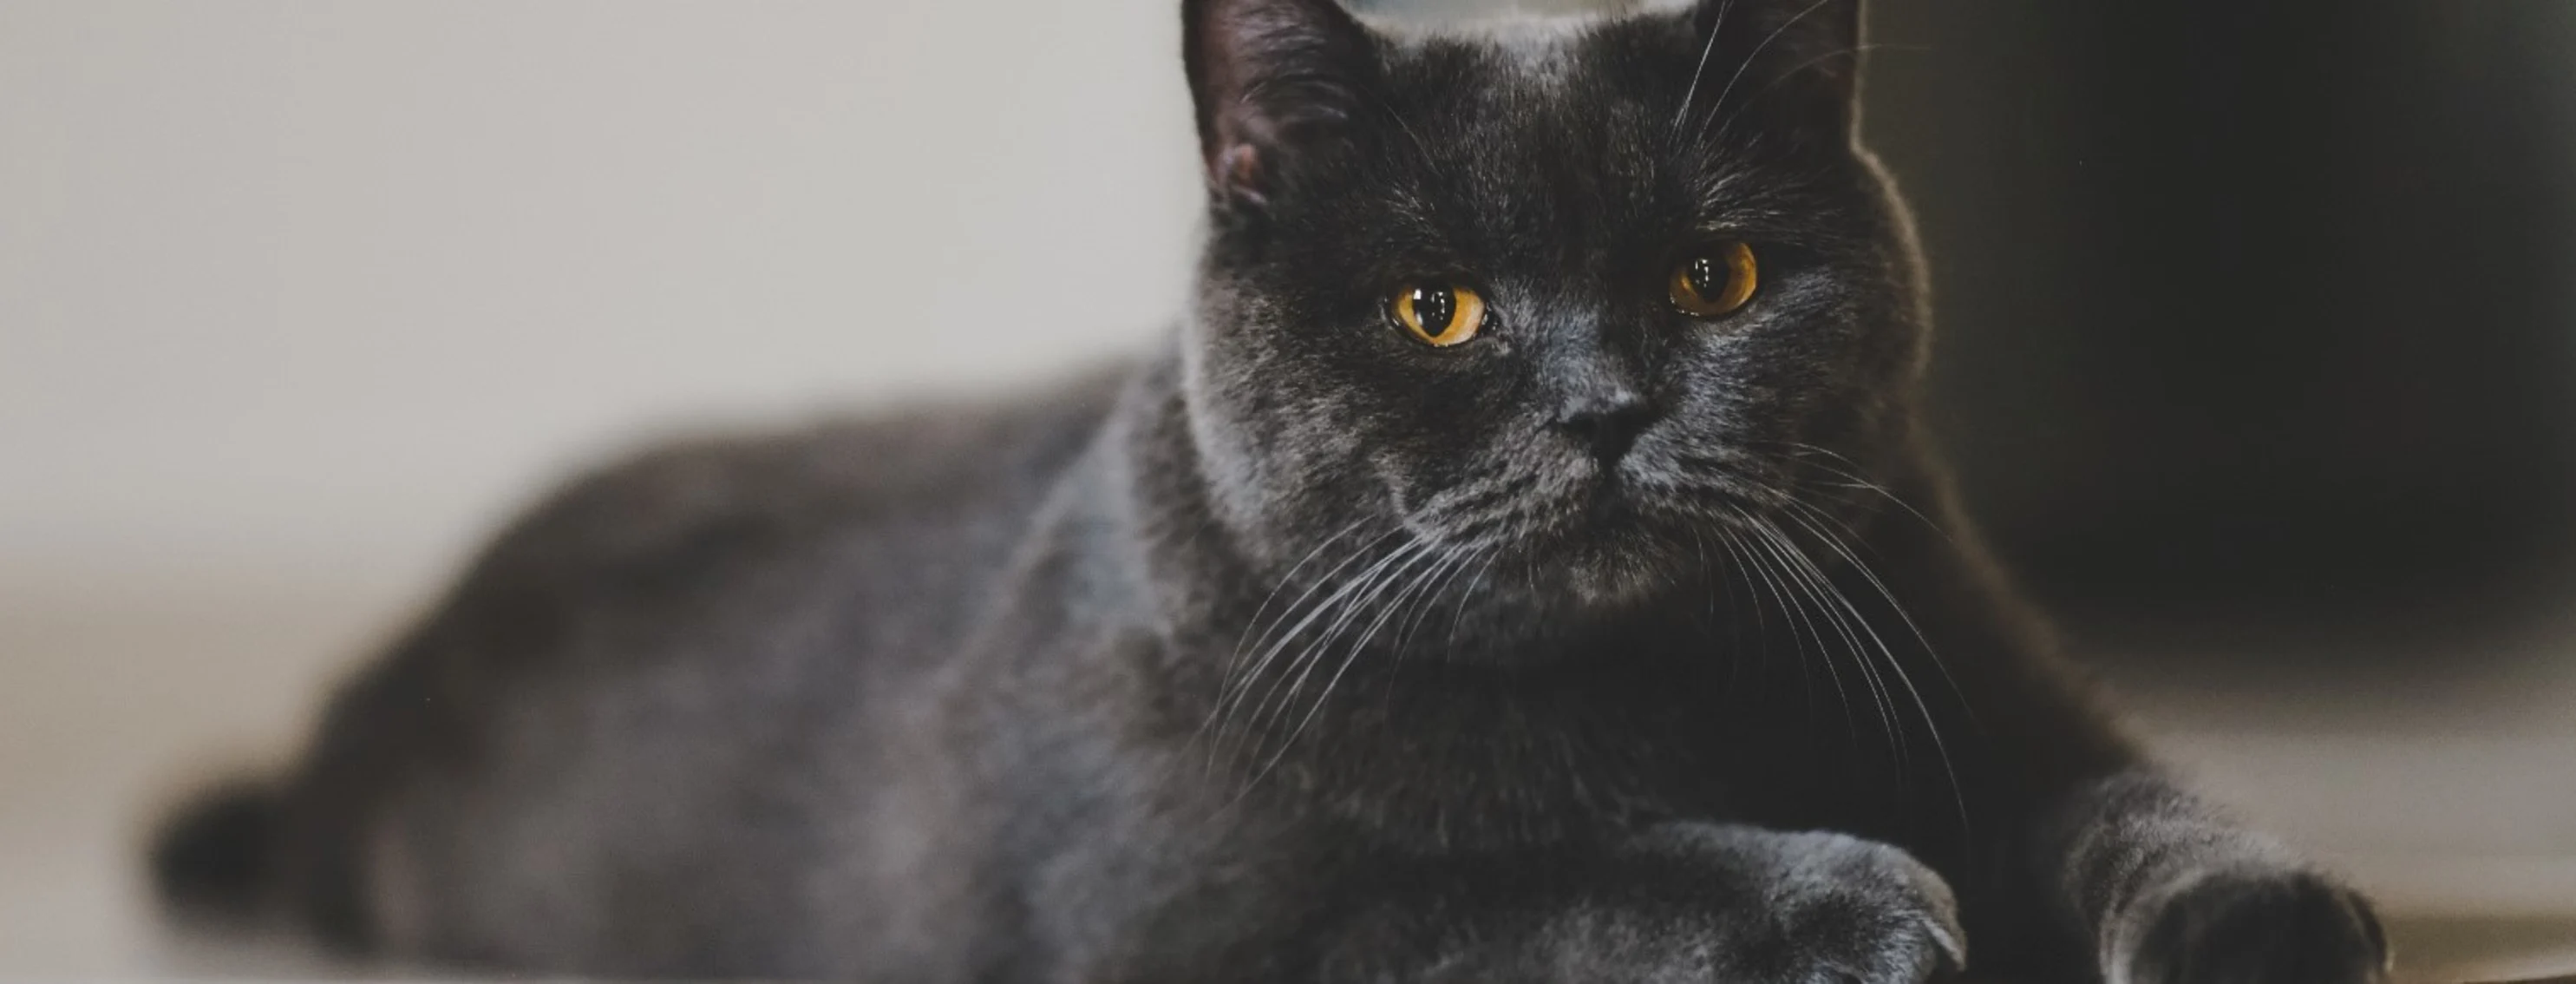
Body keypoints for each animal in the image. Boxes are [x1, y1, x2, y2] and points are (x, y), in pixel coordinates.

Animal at [150, 2, 2380, 984]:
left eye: (1713, 279)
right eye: (1435, 306)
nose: (1605, 407)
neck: (1673, 691)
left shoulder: (1999, 695)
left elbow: (2132, 805)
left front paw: (2262, 917)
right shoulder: (1191, 938)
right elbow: (1535, 884)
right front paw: (1846, 904)